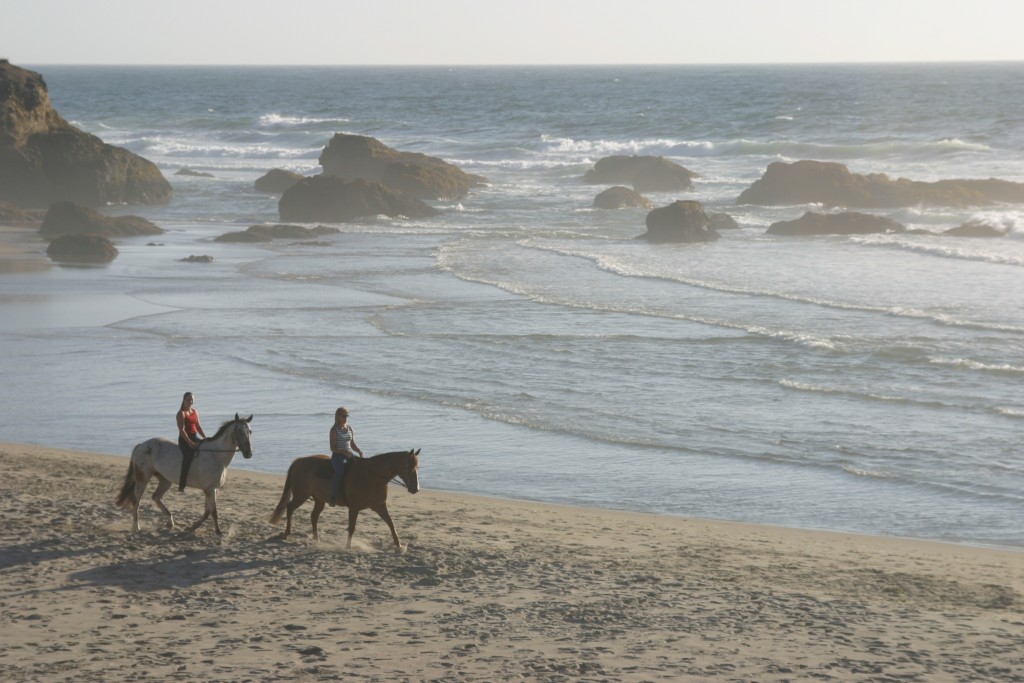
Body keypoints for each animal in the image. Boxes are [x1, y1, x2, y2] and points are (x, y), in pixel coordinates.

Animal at [114, 417, 251, 532]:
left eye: (250, 431)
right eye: (239, 432)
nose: (249, 453)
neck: (215, 455)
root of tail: (141, 445)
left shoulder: (213, 489)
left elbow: (207, 511)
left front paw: (192, 527)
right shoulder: (210, 489)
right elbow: (213, 512)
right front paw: (218, 532)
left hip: (165, 480)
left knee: (156, 497)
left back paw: (170, 522)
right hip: (142, 478)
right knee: (136, 500)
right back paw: (136, 526)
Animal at [270, 448, 421, 548]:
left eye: (417, 466)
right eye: (408, 465)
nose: (416, 488)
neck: (371, 476)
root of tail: (299, 461)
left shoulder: (380, 506)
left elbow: (391, 523)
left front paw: (399, 545)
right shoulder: (354, 508)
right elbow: (352, 527)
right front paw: (348, 546)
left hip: (319, 499)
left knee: (313, 516)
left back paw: (316, 538)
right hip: (301, 495)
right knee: (290, 507)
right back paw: (287, 534)